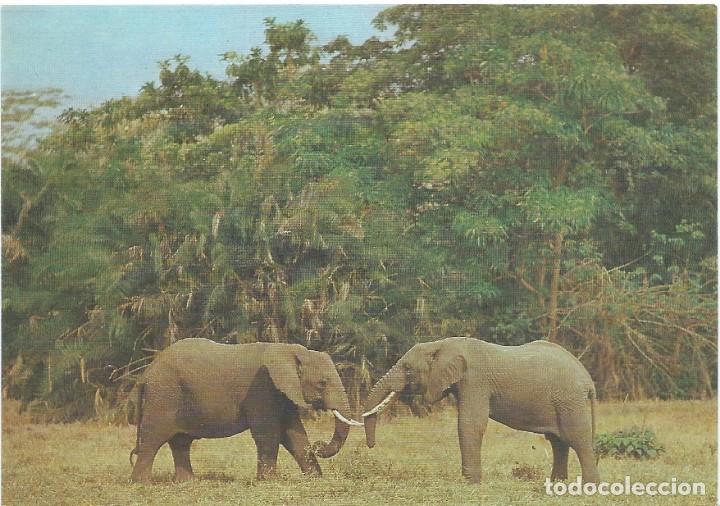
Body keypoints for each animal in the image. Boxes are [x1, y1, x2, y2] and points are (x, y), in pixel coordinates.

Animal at [127, 338, 363, 482]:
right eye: (322, 383)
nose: (319, 444)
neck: (290, 350)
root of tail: (145, 374)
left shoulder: (281, 391)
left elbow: (294, 433)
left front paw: (314, 478)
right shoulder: (262, 387)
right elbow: (269, 433)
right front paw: (268, 481)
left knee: (180, 442)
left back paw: (187, 482)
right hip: (163, 396)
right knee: (152, 439)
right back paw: (141, 483)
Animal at [362, 337, 599, 484]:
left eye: (408, 369)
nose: (371, 445)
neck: (443, 343)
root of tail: (588, 380)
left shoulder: (474, 381)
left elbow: (470, 424)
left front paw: (470, 482)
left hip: (569, 400)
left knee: (577, 438)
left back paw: (588, 487)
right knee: (558, 441)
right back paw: (557, 482)